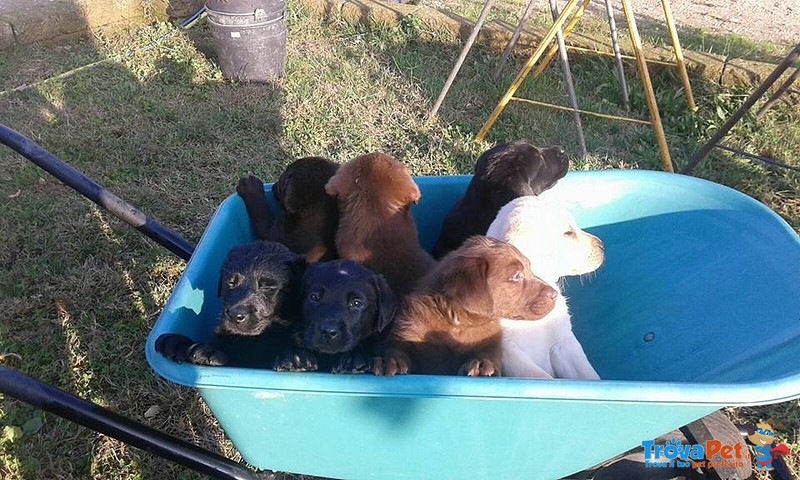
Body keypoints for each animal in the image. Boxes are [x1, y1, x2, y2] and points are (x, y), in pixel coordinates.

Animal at [370, 236, 552, 378]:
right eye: (516, 276)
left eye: (529, 267)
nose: (554, 294)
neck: (458, 322)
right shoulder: (407, 331)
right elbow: (398, 349)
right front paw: (388, 361)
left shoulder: (491, 343)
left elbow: (486, 353)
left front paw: (482, 364)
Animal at [484, 195, 604, 378]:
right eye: (568, 232)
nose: (602, 245)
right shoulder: (509, 353)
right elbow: (539, 375)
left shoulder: (563, 343)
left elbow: (589, 376)